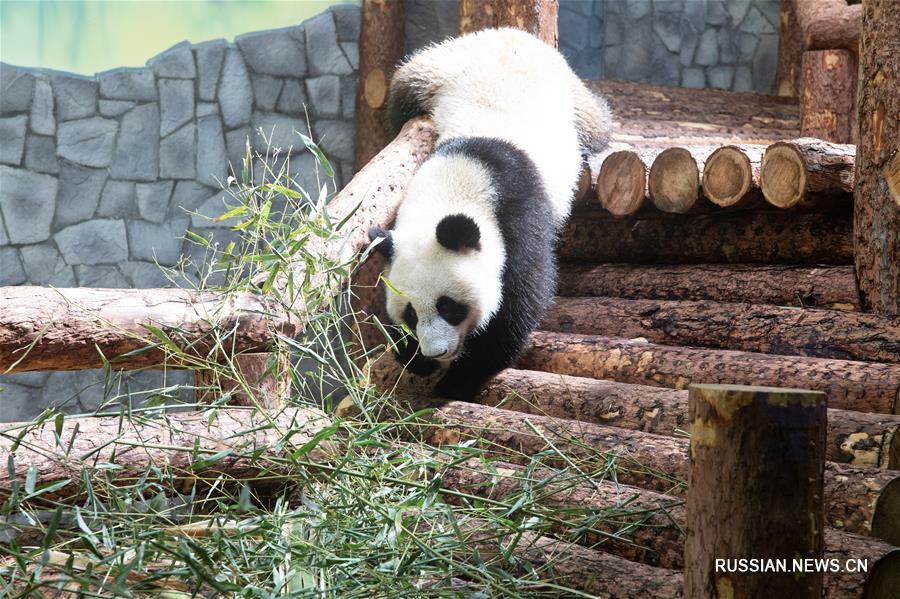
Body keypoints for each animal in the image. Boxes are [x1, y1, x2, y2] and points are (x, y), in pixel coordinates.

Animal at [366, 29, 612, 404]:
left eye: (448, 306)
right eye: (410, 312)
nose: (436, 351)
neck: (463, 171)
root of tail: (507, 33)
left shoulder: (519, 214)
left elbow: (518, 302)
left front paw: (457, 380)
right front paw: (412, 356)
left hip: (570, 94)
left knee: (596, 124)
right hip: (429, 72)